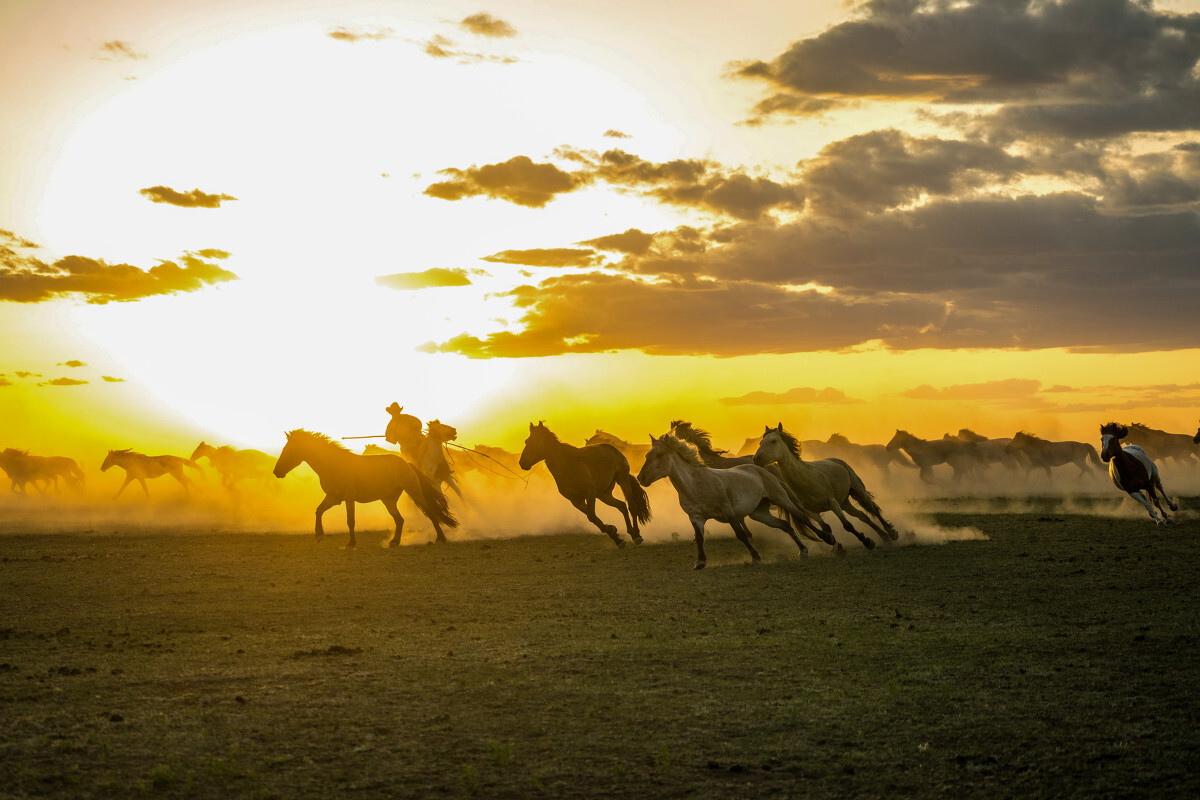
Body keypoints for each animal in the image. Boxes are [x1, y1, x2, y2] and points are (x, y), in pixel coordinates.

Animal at [274, 429, 456, 546]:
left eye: (289, 450)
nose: (276, 472)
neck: (333, 464)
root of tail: (406, 464)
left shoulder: (348, 498)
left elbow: (350, 520)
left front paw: (351, 543)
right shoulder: (333, 497)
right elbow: (318, 511)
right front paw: (319, 536)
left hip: (414, 492)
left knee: (431, 513)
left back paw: (440, 539)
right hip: (388, 499)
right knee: (399, 519)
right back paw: (394, 542)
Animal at [516, 422, 648, 546]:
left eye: (537, 441)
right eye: (527, 441)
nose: (522, 463)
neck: (568, 466)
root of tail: (614, 450)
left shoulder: (590, 494)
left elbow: (592, 516)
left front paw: (615, 533)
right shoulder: (576, 501)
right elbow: (593, 518)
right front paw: (615, 534)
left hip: (622, 480)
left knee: (631, 505)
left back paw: (637, 536)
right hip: (604, 494)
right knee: (622, 506)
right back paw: (631, 533)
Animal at [638, 431, 835, 568]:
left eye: (659, 455)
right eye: (646, 455)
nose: (641, 478)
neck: (696, 484)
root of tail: (763, 470)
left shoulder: (727, 512)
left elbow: (740, 534)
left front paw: (756, 557)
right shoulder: (695, 517)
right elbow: (699, 538)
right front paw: (700, 562)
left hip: (780, 499)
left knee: (802, 517)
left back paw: (828, 538)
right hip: (759, 513)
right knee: (785, 525)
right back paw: (803, 551)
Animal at [753, 424, 897, 551]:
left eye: (773, 441)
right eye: (761, 442)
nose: (756, 459)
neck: (806, 478)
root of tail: (837, 460)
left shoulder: (832, 503)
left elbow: (848, 526)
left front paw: (867, 542)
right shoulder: (813, 512)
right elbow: (826, 528)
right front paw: (832, 541)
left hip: (858, 492)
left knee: (873, 509)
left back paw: (892, 533)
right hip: (844, 503)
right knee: (863, 516)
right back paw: (885, 538)